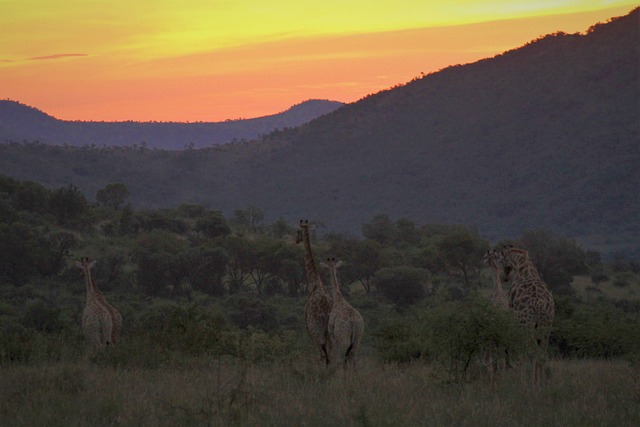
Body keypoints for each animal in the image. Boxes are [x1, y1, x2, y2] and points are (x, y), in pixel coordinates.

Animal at [296, 221, 336, 364]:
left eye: (297, 231)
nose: (296, 240)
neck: (314, 282)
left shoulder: (308, 327)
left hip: (317, 331)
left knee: (322, 354)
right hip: (330, 334)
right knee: (331, 354)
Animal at [502, 244, 552, 384]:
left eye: (502, 261)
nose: (504, 277)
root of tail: (538, 304)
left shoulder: (513, 315)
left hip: (526, 325)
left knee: (528, 350)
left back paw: (525, 381)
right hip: (546, 326)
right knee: (542, 352)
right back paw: (541, 382)